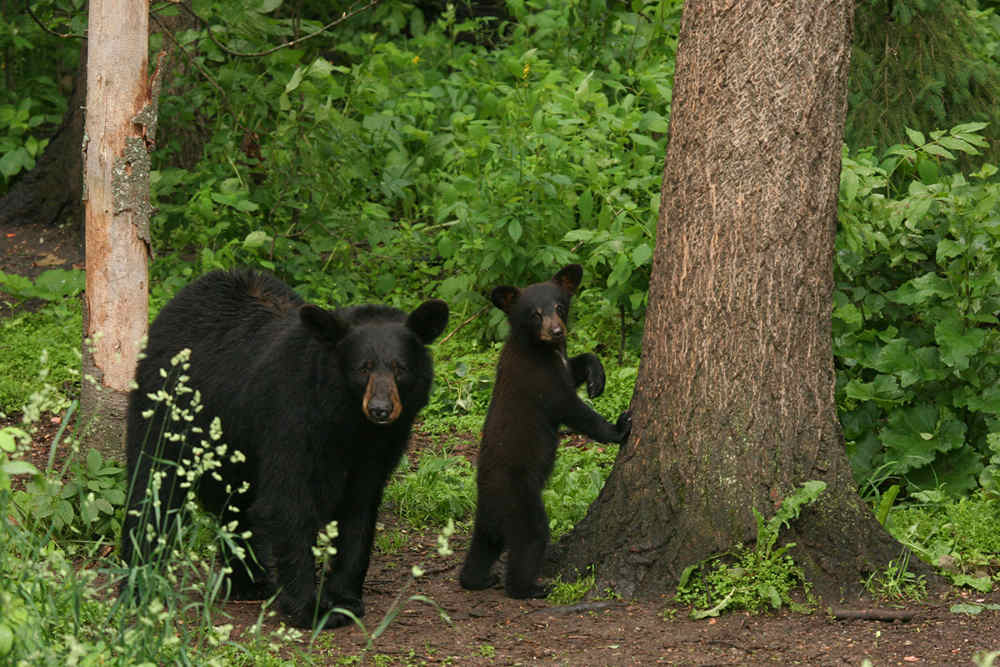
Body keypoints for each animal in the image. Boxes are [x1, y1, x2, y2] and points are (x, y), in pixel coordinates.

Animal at [120, 268, 448, 629]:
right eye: (363, 368)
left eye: (400, 368)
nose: (380, 409)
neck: (347, 420)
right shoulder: (293, 418)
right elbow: (288, 503)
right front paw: (310, 608)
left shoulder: (380, 448)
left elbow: (359, 510)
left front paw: (344, 600)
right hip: (171, 406)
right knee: (153, 483)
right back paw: (140, 582)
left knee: (234, 504)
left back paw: (250, 581)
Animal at [459, 264, 631, 599]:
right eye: (535, 314)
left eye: (560, 307)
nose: (557, 331)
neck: (542, 349)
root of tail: (486, 491)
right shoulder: (540, 381)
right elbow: (573, 410)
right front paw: (619, 427)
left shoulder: (559, 364)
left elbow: (579, 364)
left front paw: (597, 378)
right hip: (521, 496)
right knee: (531, 537)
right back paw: (529, 587)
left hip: (490, 515)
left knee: (484, 543)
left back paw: (477, 579)